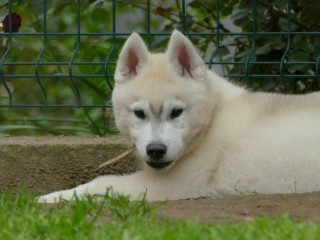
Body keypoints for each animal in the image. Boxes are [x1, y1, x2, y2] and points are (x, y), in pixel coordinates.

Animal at [40, 30, 320, 202]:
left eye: (176, 112)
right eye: (139, 113)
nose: (156, 150)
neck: (211, 120)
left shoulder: (173, 185)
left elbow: (101, 182)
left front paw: (48, 198)